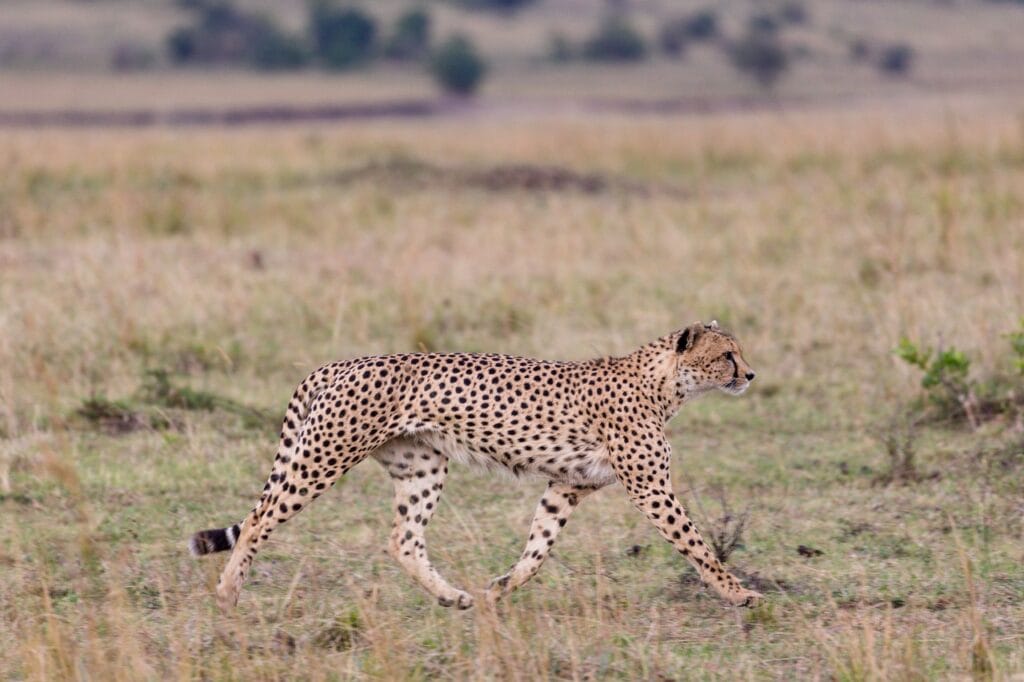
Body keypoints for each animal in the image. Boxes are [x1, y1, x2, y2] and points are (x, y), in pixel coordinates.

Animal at [190, 320, 763, 610]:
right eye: (727, 355)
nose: (751, 374)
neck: (664, 382)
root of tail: (338, 363)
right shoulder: (650, 487)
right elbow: (697, 545)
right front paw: (740, 593)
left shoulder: (567, 485)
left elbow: (538, 547)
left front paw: (501, 587)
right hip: (323, 456)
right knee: (259, 518)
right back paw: (228, 592)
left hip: (422, 466)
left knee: (402, 540)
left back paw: (452, 596)